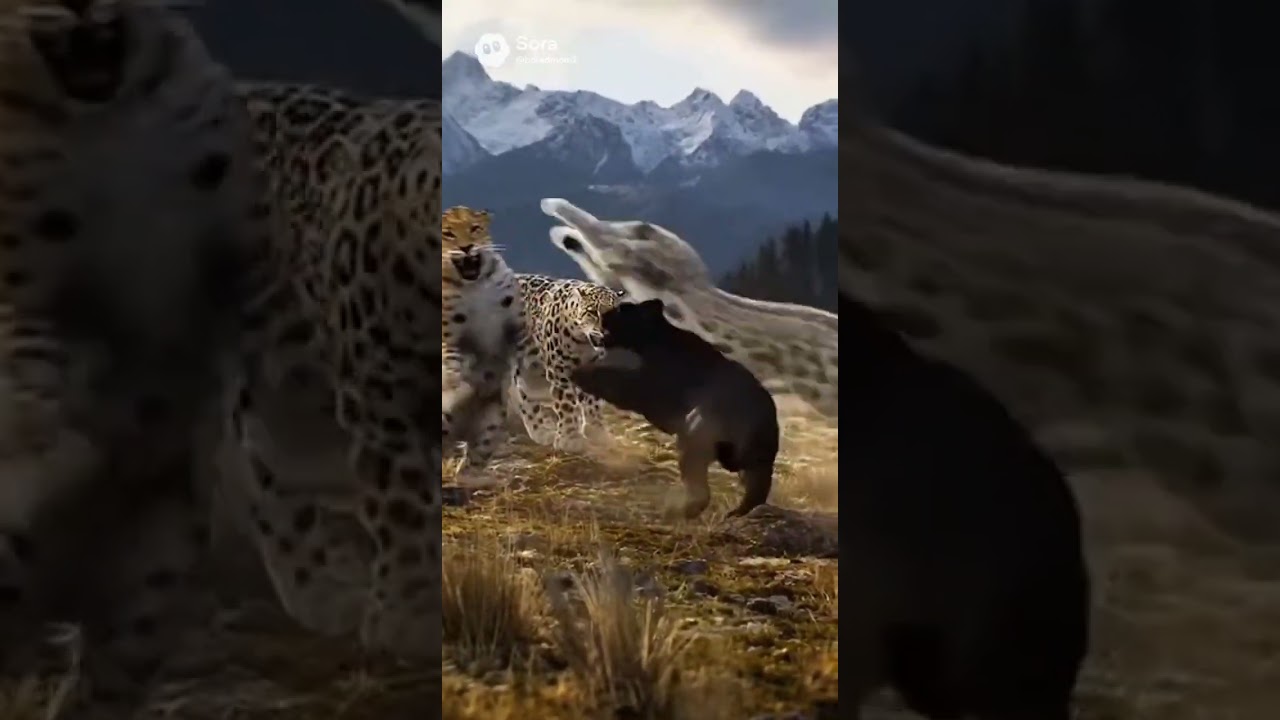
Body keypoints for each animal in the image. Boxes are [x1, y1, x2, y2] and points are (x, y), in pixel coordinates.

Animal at [0, 1, 270, 716]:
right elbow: (31, 346)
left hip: (157, 564)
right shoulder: (23, 264)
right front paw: (60, 438)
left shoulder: (229, 208)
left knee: (115, 659)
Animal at [440, 206, 523, 486]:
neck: (474, 285)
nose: (467, 247)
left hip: (492, 422)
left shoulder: (516, 320)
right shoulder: (449, 333)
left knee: (474, 458)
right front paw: (459, 386)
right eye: (448, 233)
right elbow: (451, 360)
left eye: (475, 228)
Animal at [510, 273, 626, 452]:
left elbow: (592, 404)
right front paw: (570, 438)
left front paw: (597, 432)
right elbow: (566, 403)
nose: (606, 332)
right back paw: (542, 432)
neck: (584, 344)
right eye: (593, 312)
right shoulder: (559, 371)